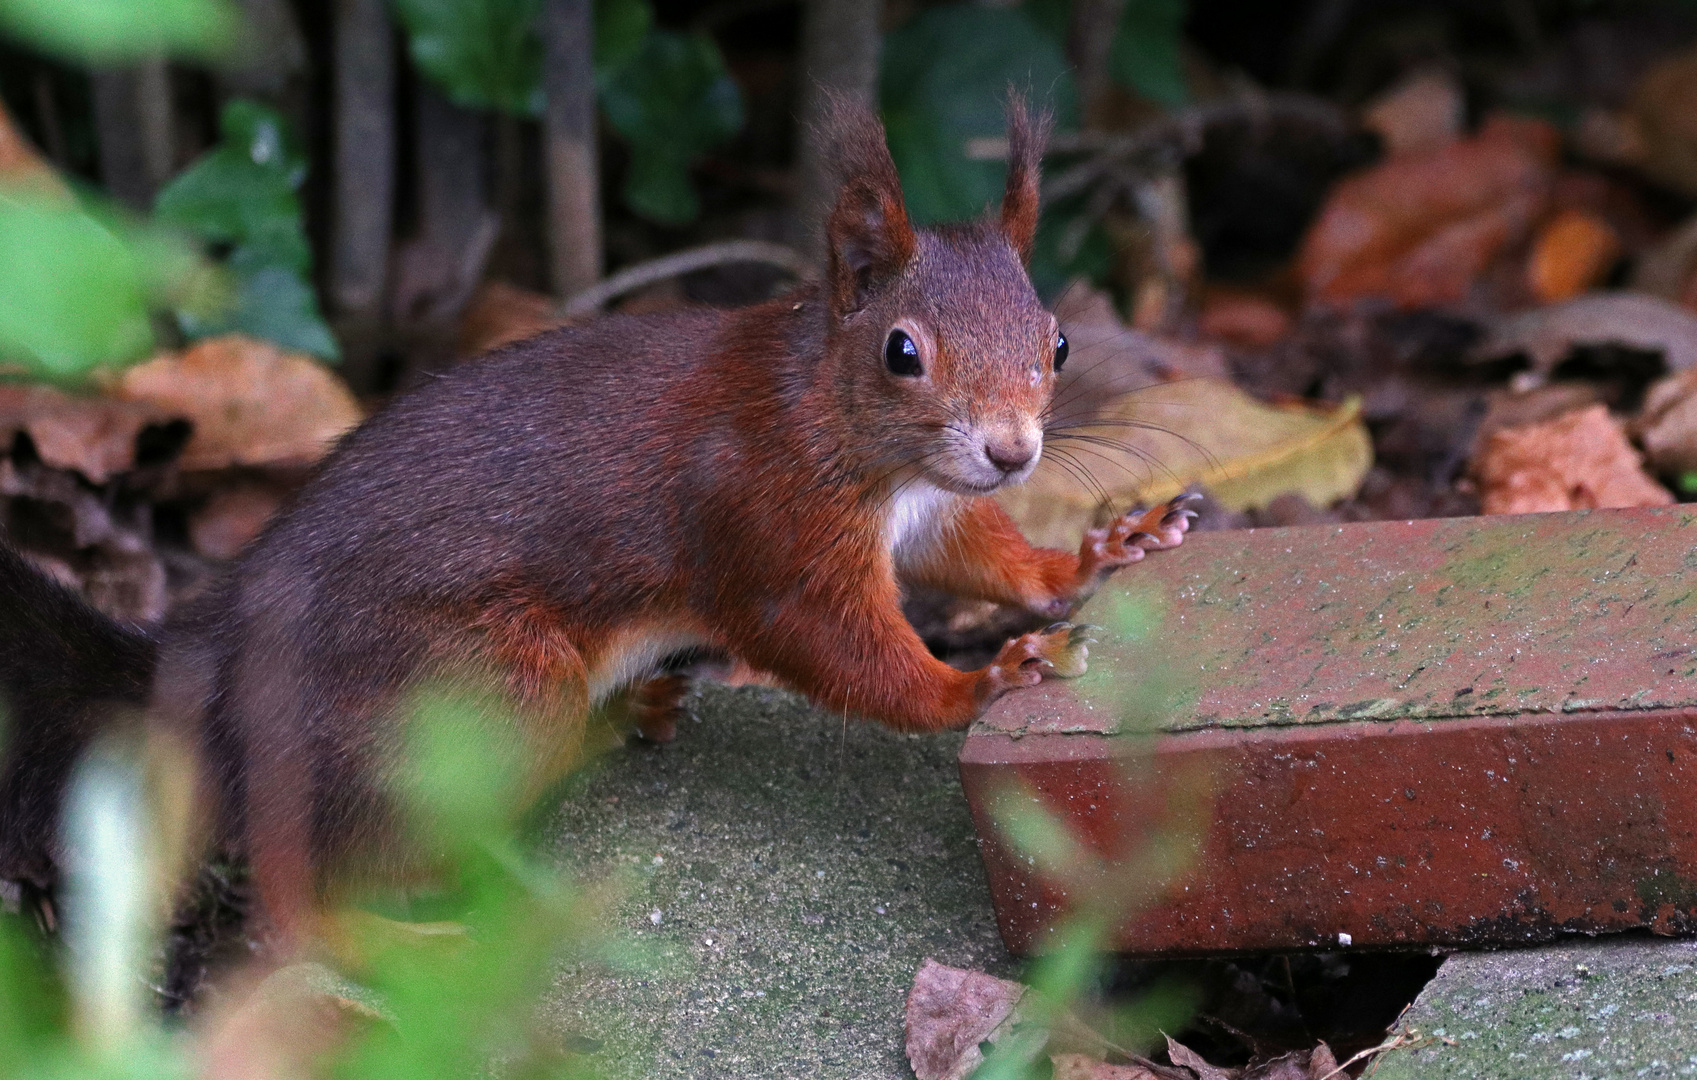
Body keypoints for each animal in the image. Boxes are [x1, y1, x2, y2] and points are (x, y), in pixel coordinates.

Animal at [0, 99, 1194, 937]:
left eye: (1056, 342)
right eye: (902, 351)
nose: (1010, 451)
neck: (836, 420)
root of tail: (210, 667)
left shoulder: (929, 510)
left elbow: (982, 553)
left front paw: (1098, 551)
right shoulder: (763, 518)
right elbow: (834, 647)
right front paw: (978, 681)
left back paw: (624, 718)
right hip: (473, 691)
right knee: (308, 892)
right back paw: (406, 943)